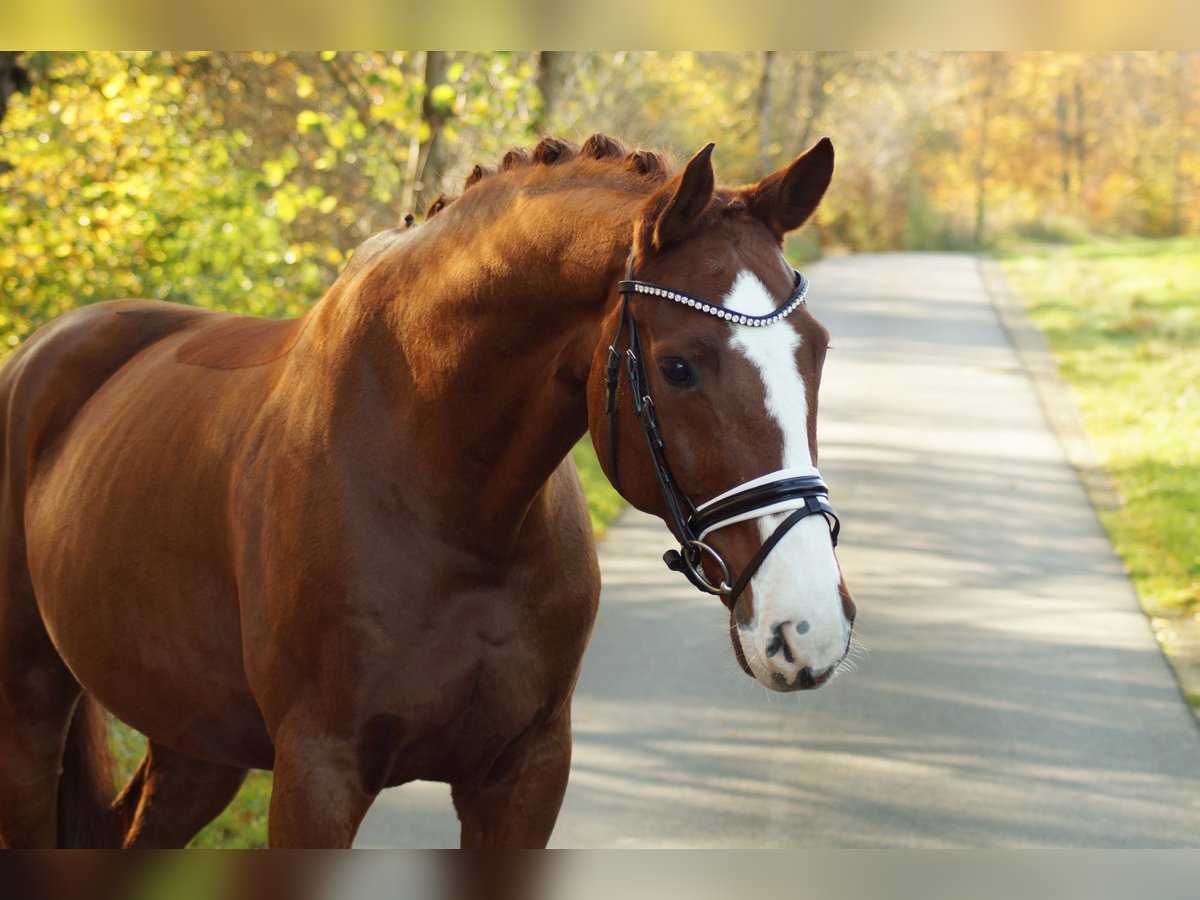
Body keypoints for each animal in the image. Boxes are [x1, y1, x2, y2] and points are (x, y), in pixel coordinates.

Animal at [4, 132, 859, 844]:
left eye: (817, 349)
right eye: (679, 366)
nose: (807, 626)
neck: (454, 509)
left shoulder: (525, 774)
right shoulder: (318, 776)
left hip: (197, 742)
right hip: (32, 711)